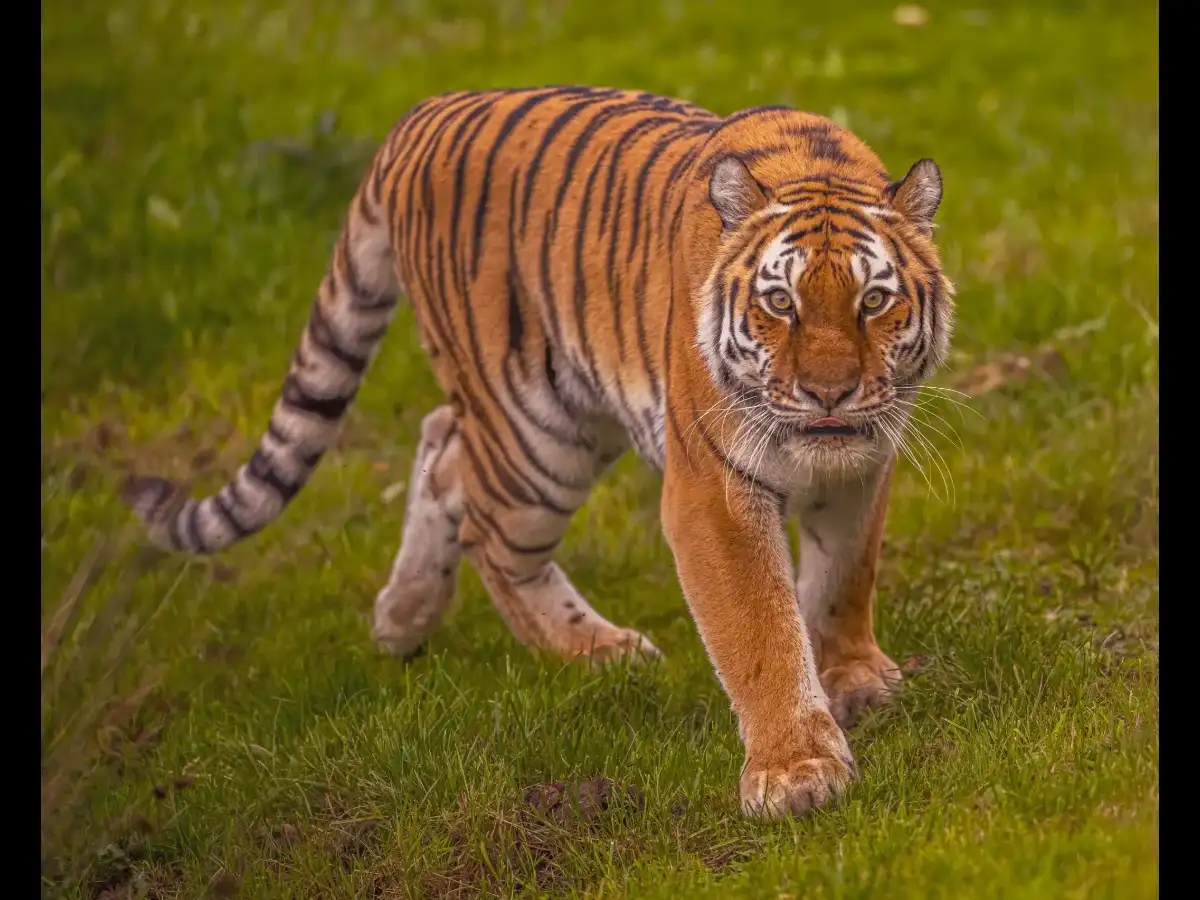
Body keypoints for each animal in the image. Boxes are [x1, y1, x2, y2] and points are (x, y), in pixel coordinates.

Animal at [124, 86, 954, 819]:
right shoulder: (713, 492)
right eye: (780, 302)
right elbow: (758, 630)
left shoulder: (864, 463)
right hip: (535, 438)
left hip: (568, 416)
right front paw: (796, 771)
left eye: (874, 301)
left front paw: (853, 677)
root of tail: (420, 115)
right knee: (489, 532)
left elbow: (845, 575)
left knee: (442, 442)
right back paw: (596, 649)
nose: (828, 394)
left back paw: (403, 618)